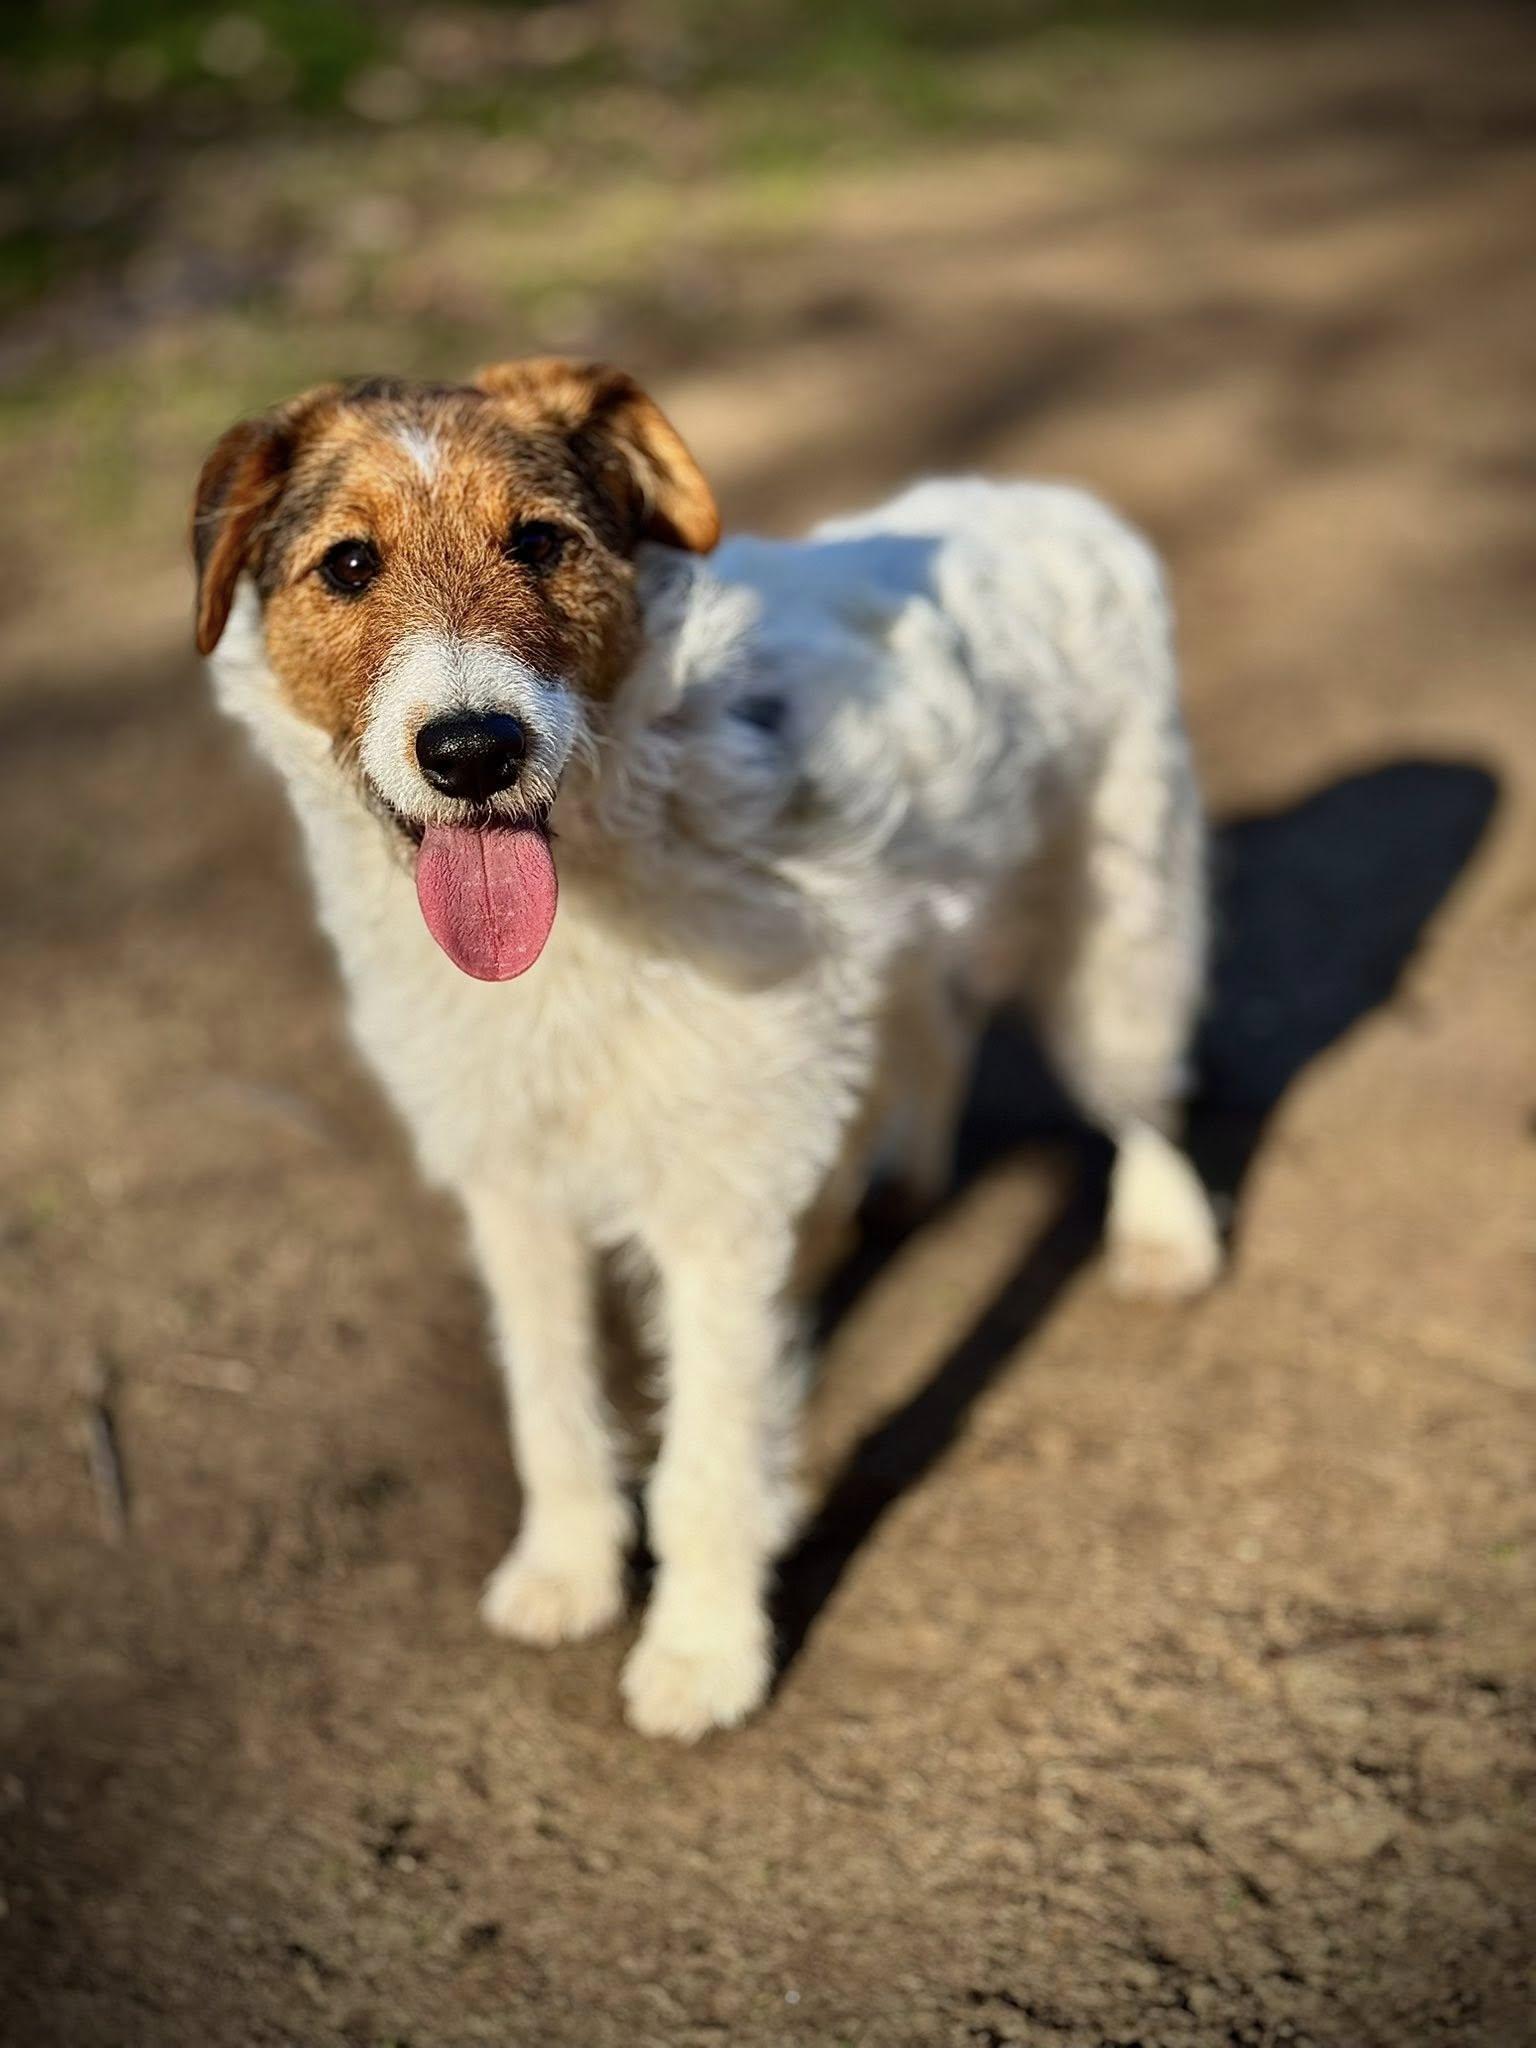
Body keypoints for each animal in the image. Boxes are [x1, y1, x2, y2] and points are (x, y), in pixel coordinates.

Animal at [192, 358, 1220, 1740]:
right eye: (348, 564)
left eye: (541, 541)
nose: (472, 751)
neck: (599, 873)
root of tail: (1056, 499)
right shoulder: (514, 1188)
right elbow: (552, 1409)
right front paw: (567, 1573)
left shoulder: (714, 1211)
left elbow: (706, 1458)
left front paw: (700, 1650)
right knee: (929, 1026)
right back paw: (891, 1180)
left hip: (1121, 921)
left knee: (1136, 1095)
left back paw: (1164, 1233)